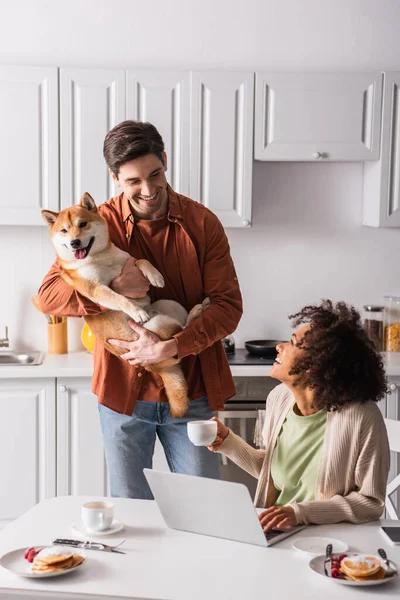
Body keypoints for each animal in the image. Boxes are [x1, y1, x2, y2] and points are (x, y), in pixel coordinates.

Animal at [41, 192, 209, 418]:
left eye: (82, 224)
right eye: (64, 231)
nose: (75, 242)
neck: (100, 258)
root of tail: (157, 368)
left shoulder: (127, 261)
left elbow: (141, 260)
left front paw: (155, 276)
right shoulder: (96, 289)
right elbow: (120, 298)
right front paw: (137, 311)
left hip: (169, 305)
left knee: (182, 329)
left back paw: (198, 309)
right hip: (157, 326)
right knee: (180, 330)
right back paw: (197, 310)